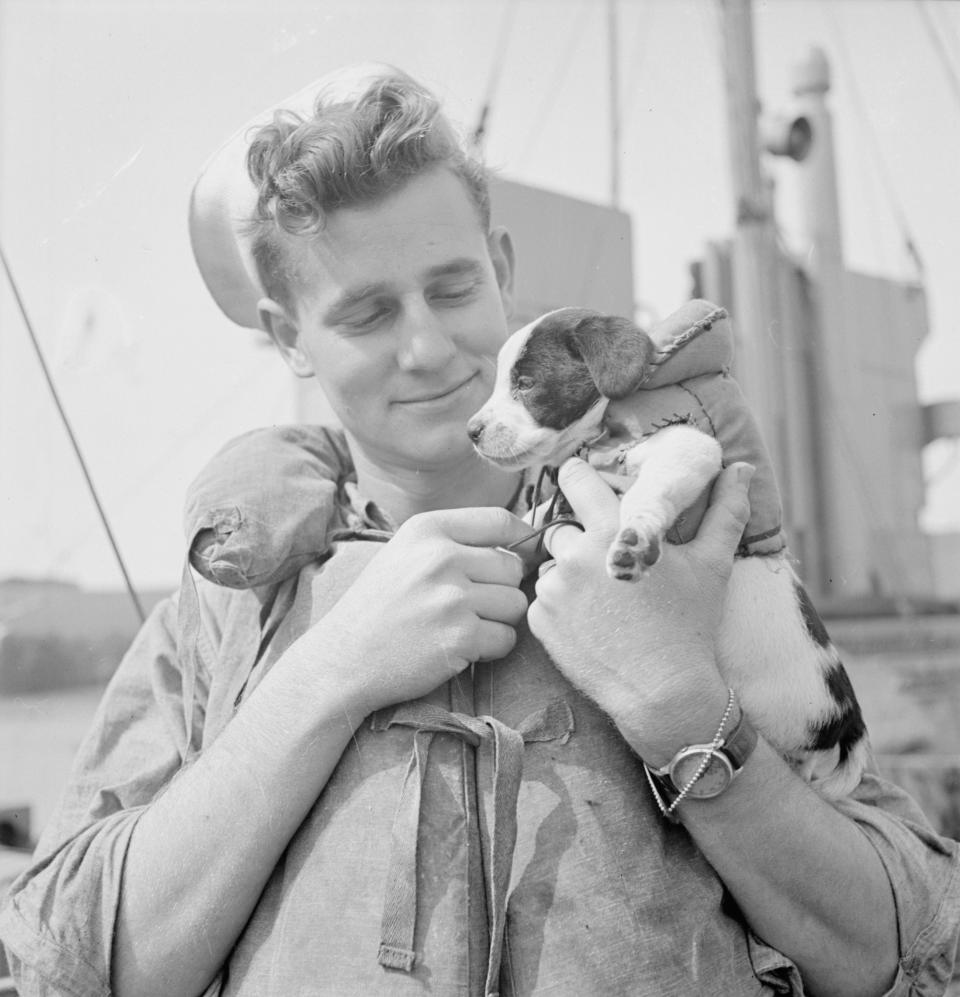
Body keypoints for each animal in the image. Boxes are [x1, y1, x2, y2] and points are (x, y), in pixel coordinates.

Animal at [466, 300, 872, 796]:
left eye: (526, 384)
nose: (471, 431)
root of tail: (847, 731)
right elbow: (537, 515)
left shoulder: (688, 443)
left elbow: (650, 490)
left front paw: (634, 537)